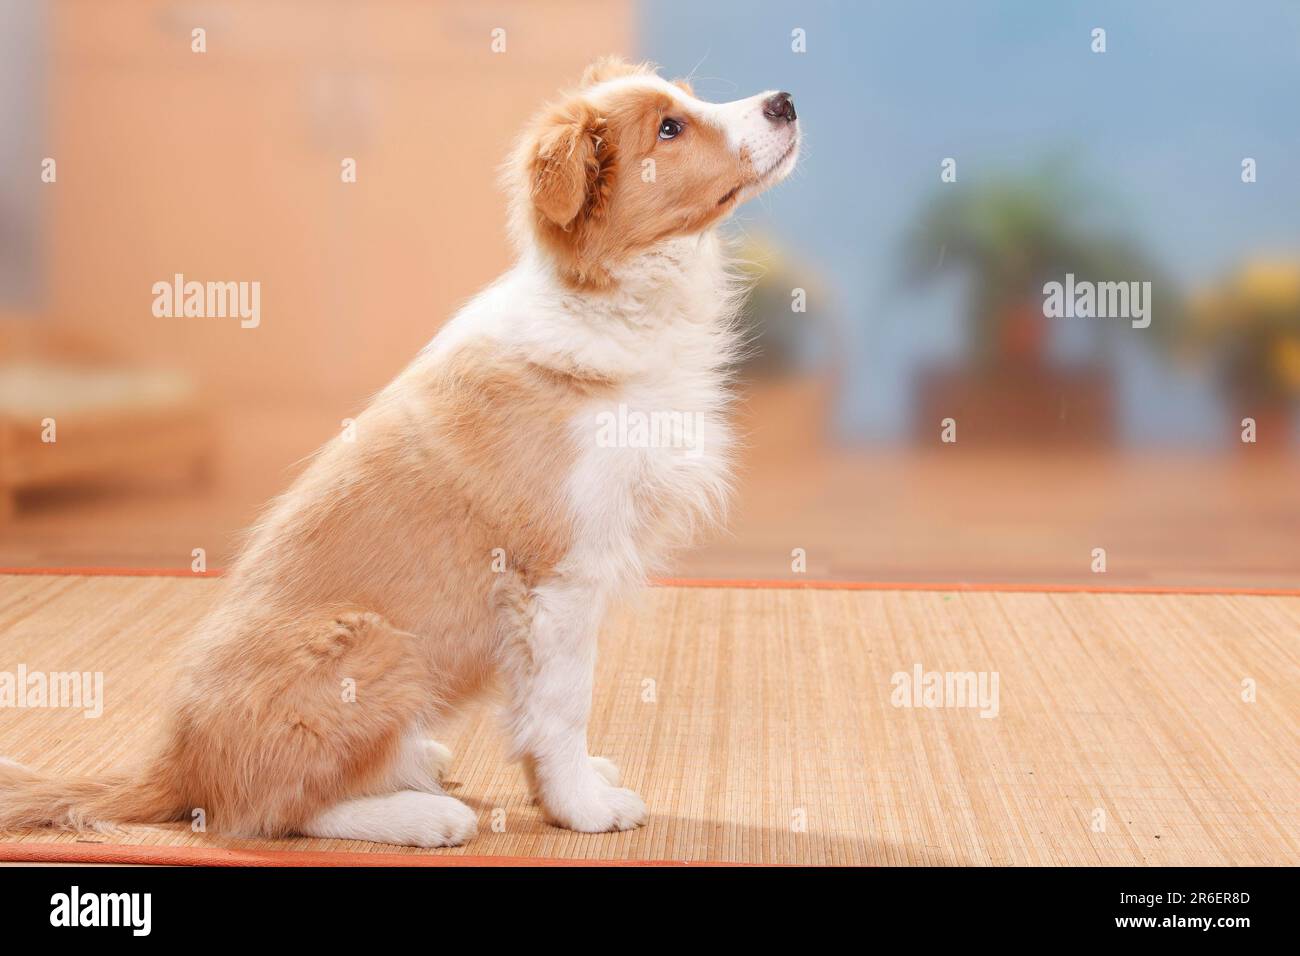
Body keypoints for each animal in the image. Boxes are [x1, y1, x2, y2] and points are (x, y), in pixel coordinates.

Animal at [0, 55, 795, 848]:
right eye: (669, 129)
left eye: (688, 100)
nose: (785, 101)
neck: (615, 298)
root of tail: (175, 767)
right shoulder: (561, 576)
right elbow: (564, 705)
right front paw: (583, 809)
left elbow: (535, 711)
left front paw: (561, 794)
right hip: (375, 642)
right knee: (273, 813)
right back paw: (423, 814)